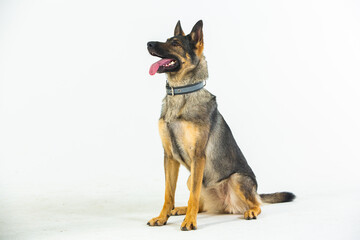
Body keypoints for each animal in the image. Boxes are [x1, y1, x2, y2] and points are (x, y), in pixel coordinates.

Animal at [146, 19, 296, 230]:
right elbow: (169, 194)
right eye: (167, 40)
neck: (182, 93)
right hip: (191, 178)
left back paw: (250, 211)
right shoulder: (169, 157)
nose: (148, 44)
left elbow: (192, 196)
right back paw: (181, 210)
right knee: (201, 204)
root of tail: (226, 206)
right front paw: (162, 217)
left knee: (256, 203)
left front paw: (190, 222)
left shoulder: (198, 155)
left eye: (175, 44)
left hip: (237, 178)